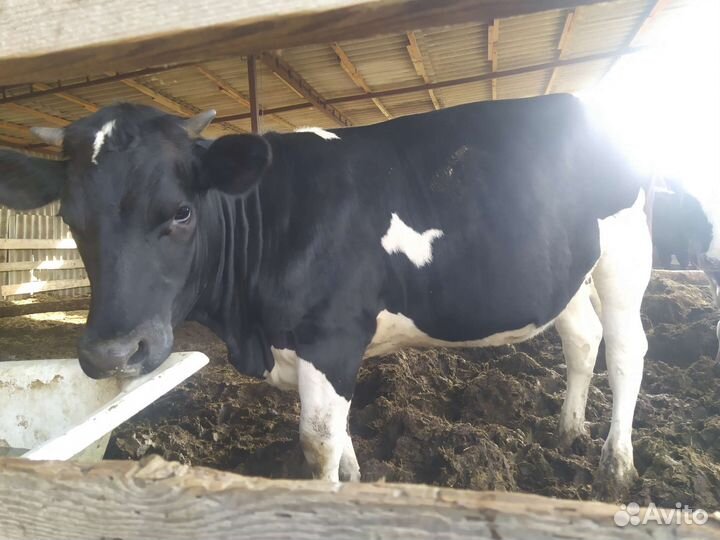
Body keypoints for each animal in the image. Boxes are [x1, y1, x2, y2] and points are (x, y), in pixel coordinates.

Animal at [1, 95, 713, 498]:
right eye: (69, 217)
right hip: (565, 269)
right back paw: (567, 433)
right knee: (582, 339)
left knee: (627, 350)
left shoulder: (332, 337)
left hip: (625, 252)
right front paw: (354, 483)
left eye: (181, 212)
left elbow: (318, 441)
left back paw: (615, 465)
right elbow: (339, 439)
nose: (112, 353)